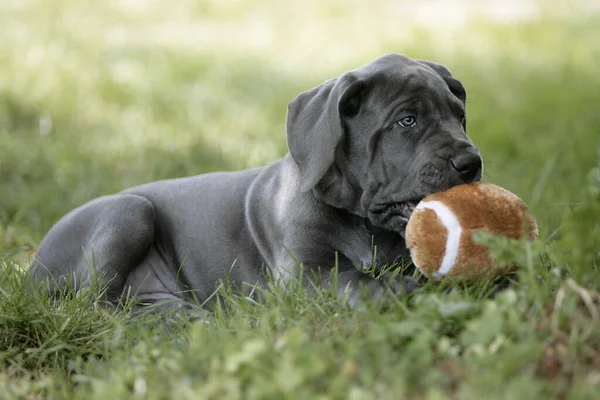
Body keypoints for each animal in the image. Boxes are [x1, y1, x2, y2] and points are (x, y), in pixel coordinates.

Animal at [31, 53, 482, 310]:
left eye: (460, 116)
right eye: (407, 121)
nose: (471, 162)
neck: (362, 222)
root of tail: (29, 267)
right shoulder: (301, 275)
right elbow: (349, 278)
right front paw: (392, 289)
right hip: (129, 210)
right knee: (91, 305)